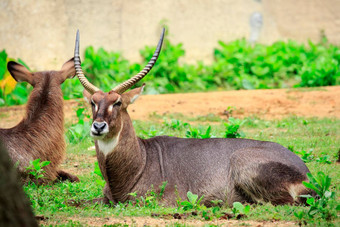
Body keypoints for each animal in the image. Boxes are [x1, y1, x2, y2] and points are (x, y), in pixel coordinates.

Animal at [74, 28, 314, 206]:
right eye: (93, 102)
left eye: (117, 102)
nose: (98, 127)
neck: (141, 159)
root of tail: (307, 174)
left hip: (243, 162)